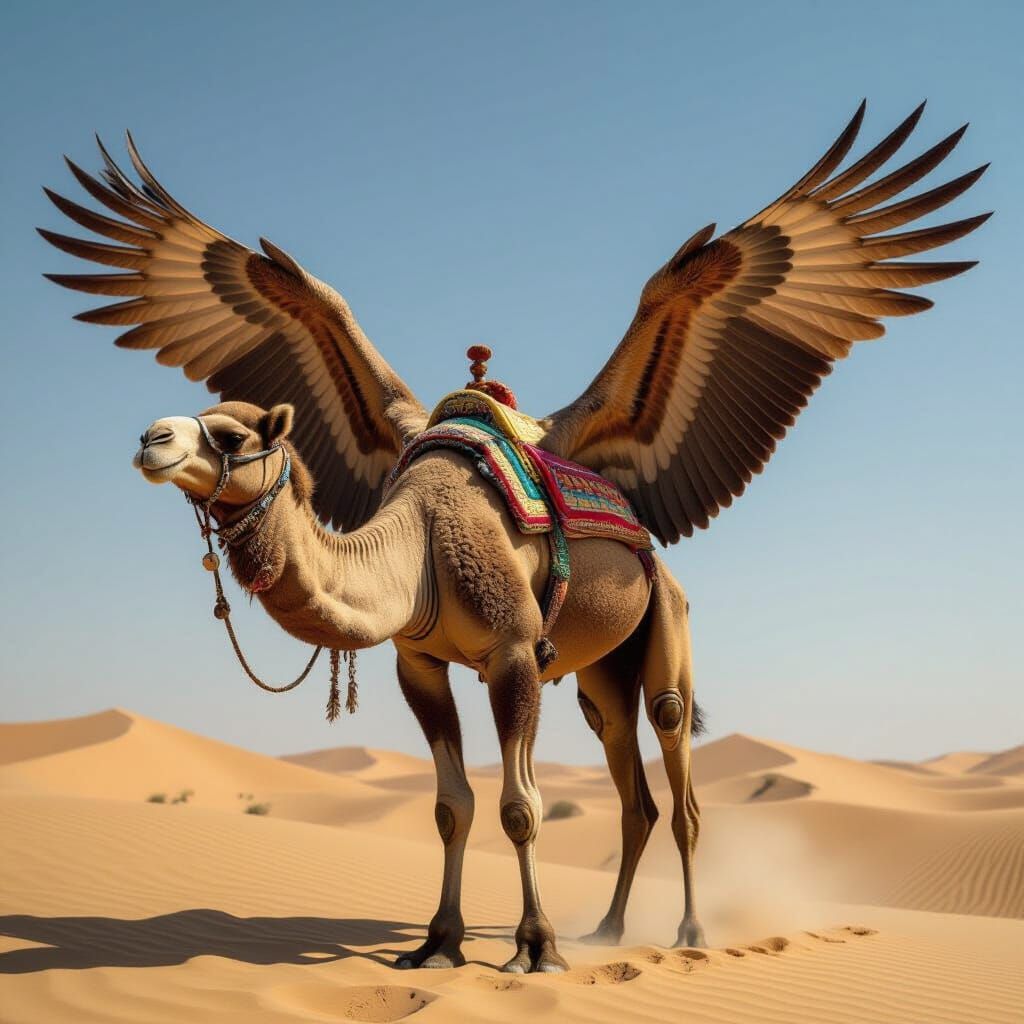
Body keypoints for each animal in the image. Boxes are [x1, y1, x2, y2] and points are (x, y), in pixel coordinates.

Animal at [41, 101, 986, 972]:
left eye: (235, 434)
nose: (152, 439)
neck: (422, 540)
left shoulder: (509, 652)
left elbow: (520, 807)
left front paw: (533, 948)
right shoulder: (421, 663)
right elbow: (450, 806)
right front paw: (438, 943)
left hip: (665, 634)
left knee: (677, 772)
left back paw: (685, 932)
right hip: (600, 675)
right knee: (633, 793)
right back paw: (607, 928)